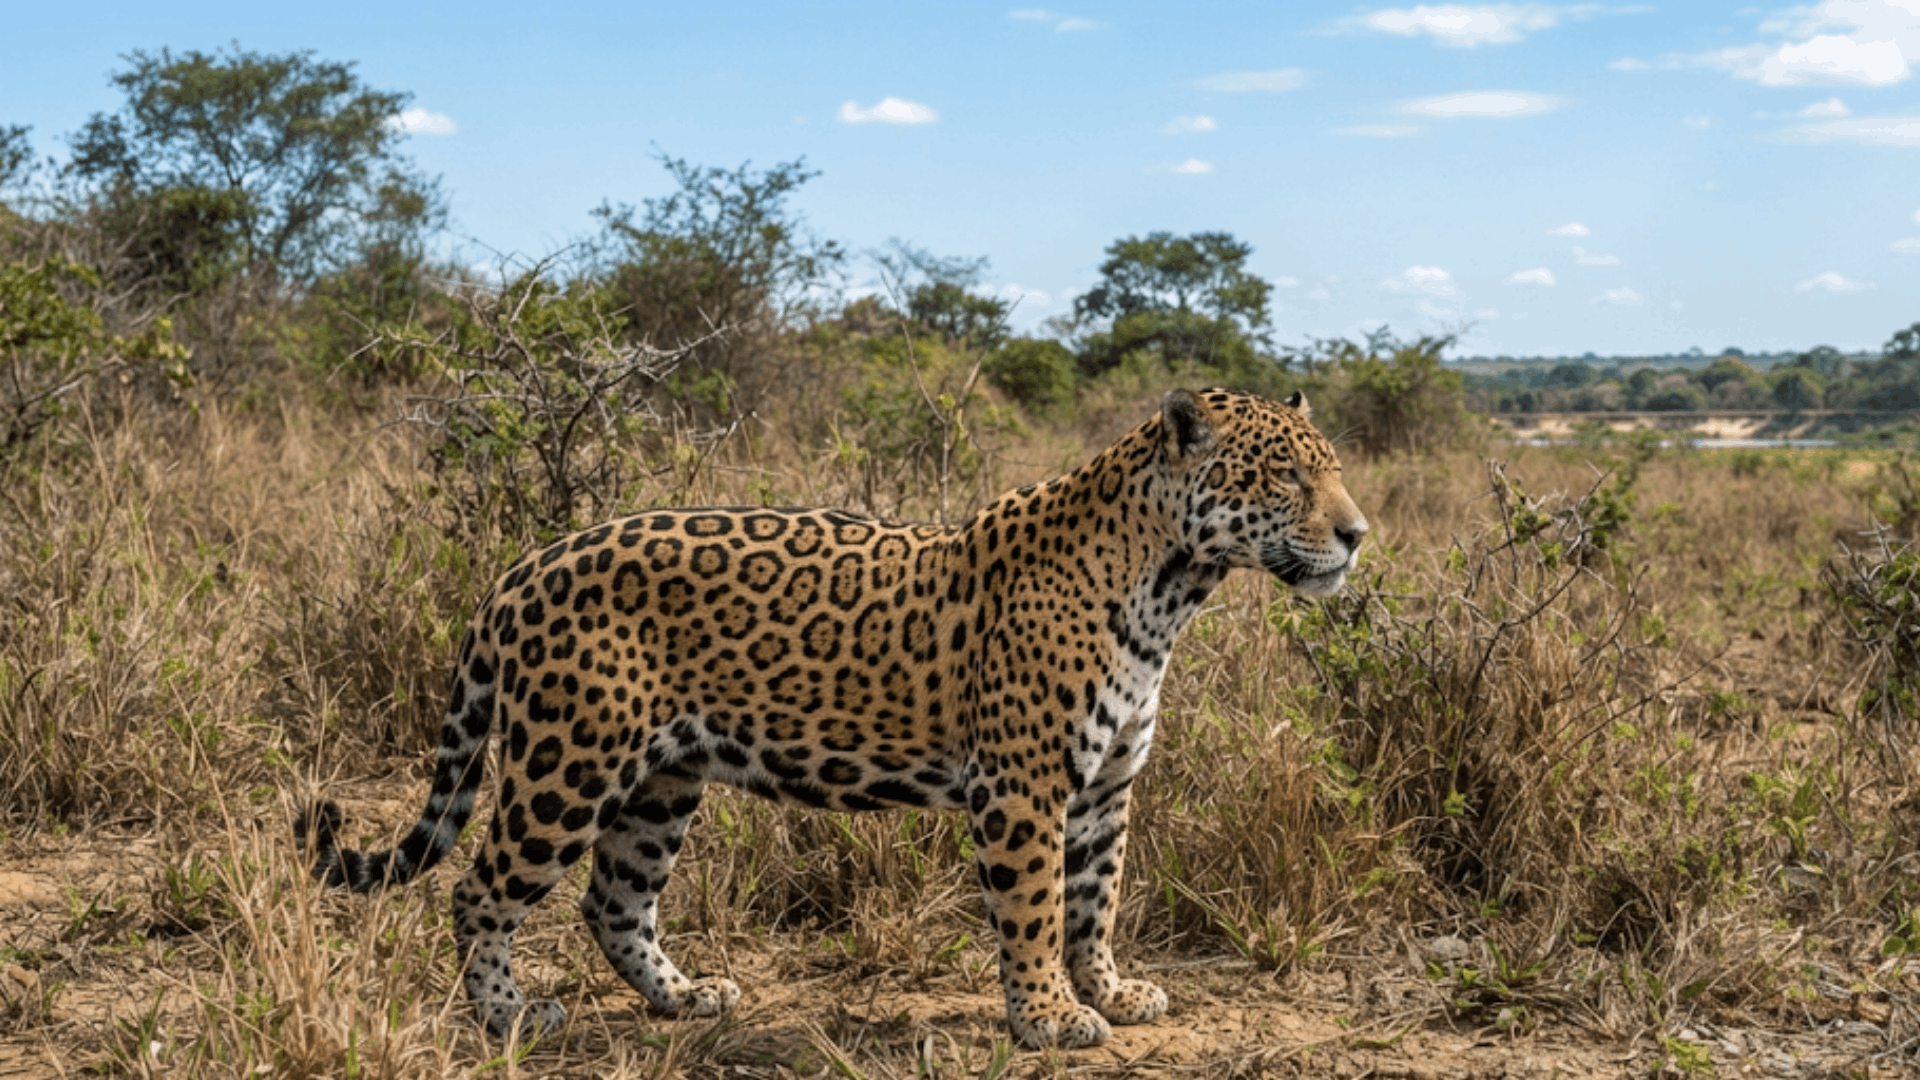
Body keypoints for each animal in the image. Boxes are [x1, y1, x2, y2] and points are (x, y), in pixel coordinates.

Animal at [298, 387, 1368, 1049]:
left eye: (1333, 470)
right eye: (1285, 477)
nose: (1358, 534)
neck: (1171, 587)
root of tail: (524, 565)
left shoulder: (1105, 787)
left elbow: (1092, 900)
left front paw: (1106, 990)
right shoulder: (1024, 790)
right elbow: (1033, 908)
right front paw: (1047, 1018)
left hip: (661, 781)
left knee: (614, 900)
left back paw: (686, 997)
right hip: (567, 767)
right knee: (479, 891)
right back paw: (508, 1019)